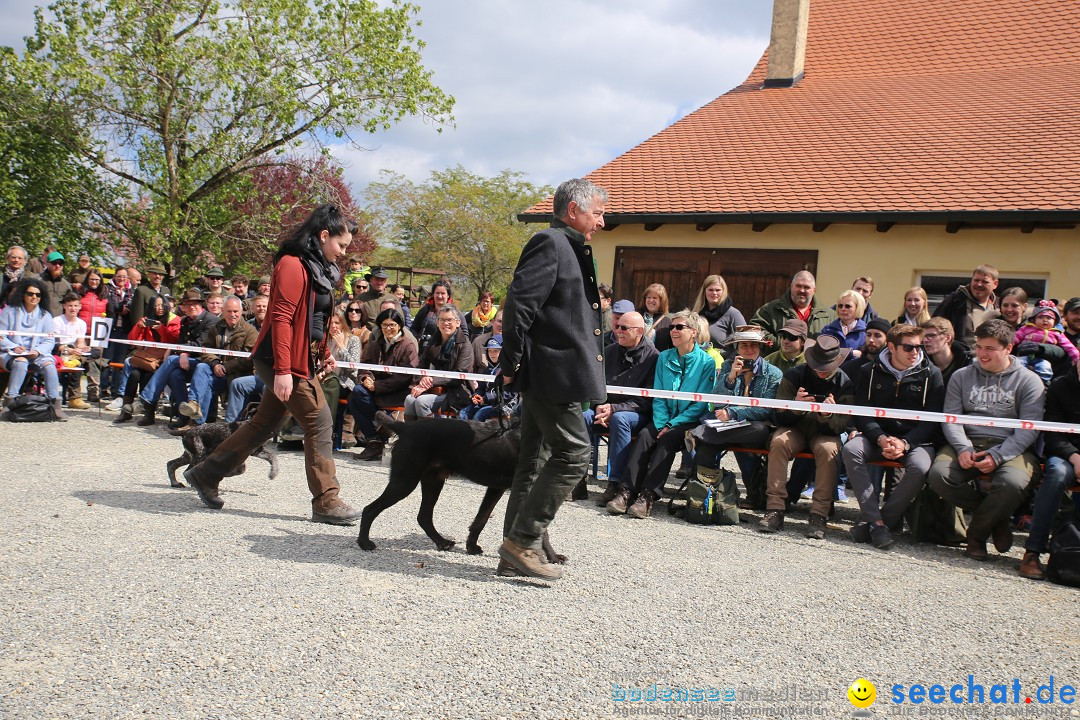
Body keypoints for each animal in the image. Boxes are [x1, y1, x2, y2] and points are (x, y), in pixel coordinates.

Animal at [358, 410, 565, 561]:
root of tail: (404, 426)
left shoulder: (497, 488)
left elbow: (481, 519)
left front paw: (472, 547)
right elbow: (540, 530)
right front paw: (552, 557)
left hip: (433, 481)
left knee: (423, 516)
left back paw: (442, 542)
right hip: (405, 481)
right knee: (369, 509)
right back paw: (364, 543)